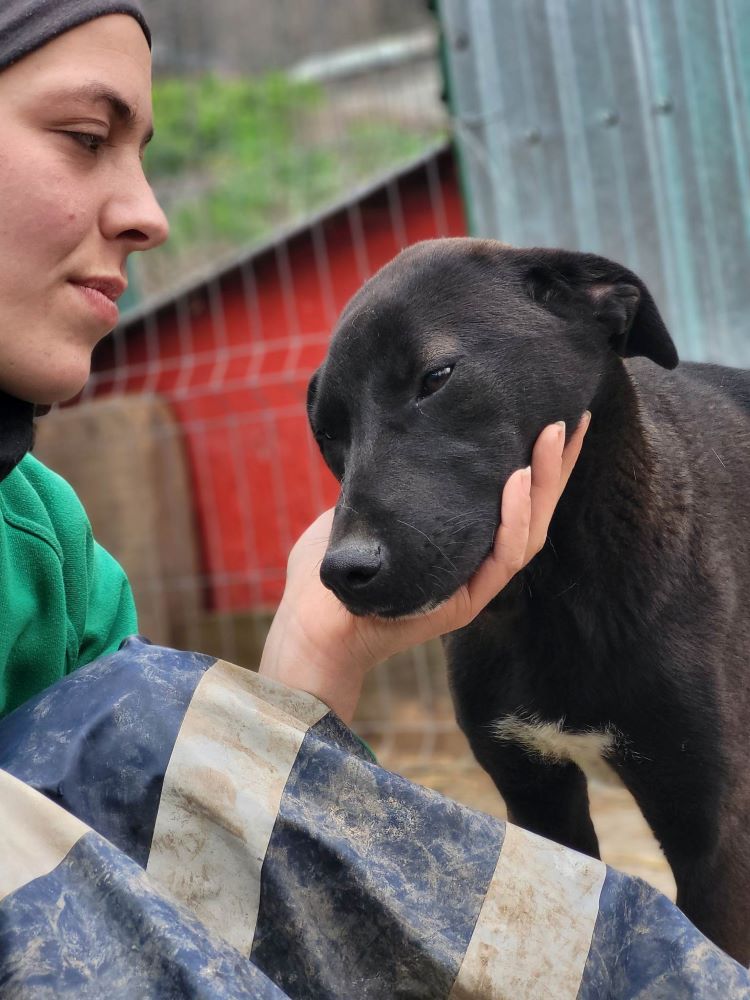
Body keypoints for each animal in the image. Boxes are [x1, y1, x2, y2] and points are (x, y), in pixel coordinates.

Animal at [308, 236, 750, 960]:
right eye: (327, 433)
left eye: (437, 377)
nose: (343, 572)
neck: (555, 601)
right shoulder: (535, 799)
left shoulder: (714, 836)